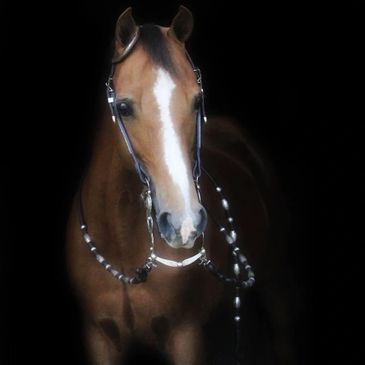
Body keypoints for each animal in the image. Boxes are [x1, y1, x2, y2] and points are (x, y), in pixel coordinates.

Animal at [65, 5, 292, 364]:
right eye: (123, 107)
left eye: (197, 101)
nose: (184, 224)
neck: (124, 246)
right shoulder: (99, 337)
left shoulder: (186, 337)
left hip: (276, 279)